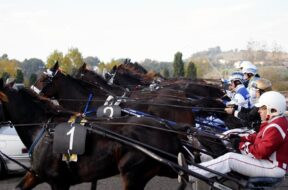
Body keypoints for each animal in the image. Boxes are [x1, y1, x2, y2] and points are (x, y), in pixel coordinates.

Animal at [0, 78, 188, 189]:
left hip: (132, 174)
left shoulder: (58, 181)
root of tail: (168, 130)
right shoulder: (36, 174)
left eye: (44, 78)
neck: (41, 127)